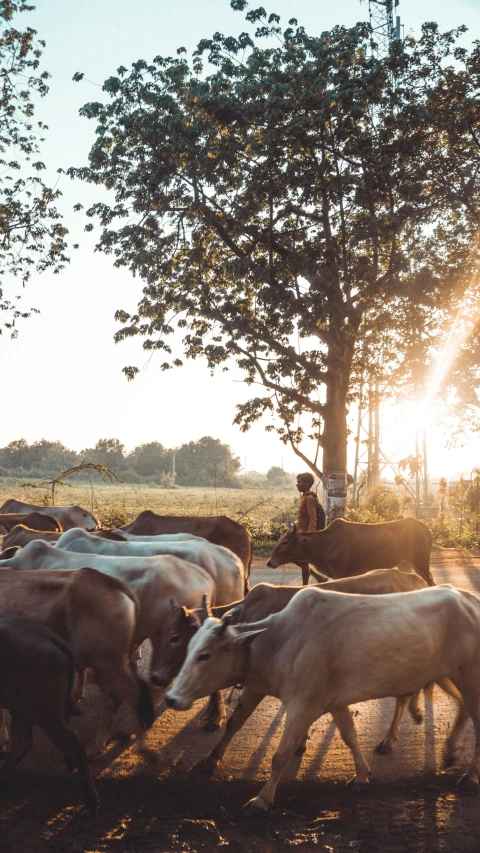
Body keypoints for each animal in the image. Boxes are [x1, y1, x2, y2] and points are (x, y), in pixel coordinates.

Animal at [166, 584, 480, 812]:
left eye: (205, 655)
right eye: (190, 647)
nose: (170, 698)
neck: (275, 642)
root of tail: (470, 600)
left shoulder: (302, 706)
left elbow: (281, 756)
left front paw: (262, 800)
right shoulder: (329, 702)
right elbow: (350, 736)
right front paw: (362, 775)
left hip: (469, 678)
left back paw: (469, 776)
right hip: (450, 676)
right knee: (463, 708)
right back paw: (449, 751)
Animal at [266, 520, 436, 584]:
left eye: (286, 542)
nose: (269, 562)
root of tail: (427, 529)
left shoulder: (343, 573)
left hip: (420, 563)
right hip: (404, 564)